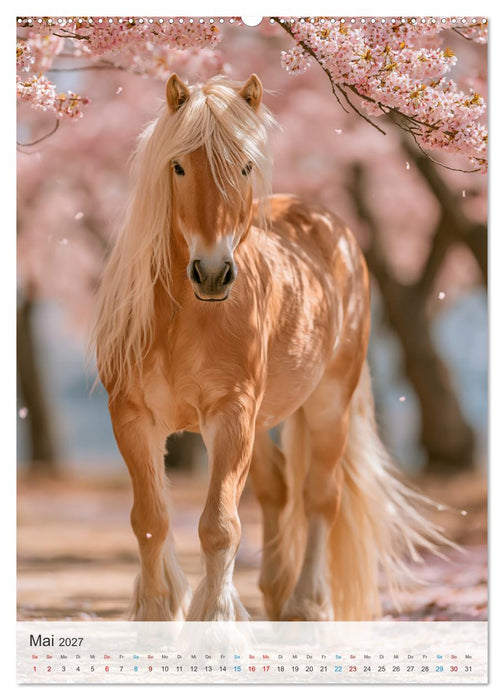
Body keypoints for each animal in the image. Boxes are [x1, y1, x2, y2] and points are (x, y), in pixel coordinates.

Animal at [93, 73, 445, 622]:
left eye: (245, 166)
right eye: (178, 165)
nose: (212, 272)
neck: (184, 318)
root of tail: (329, 225)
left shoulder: (231, 413)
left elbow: (220, 527)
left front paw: (216, 621)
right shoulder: (132, 417)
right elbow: (151, 520)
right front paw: (158, 613)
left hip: (327, 406)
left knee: (321, 497)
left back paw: (305, 603)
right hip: (258, 425)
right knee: (277, 486)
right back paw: (278, 592)